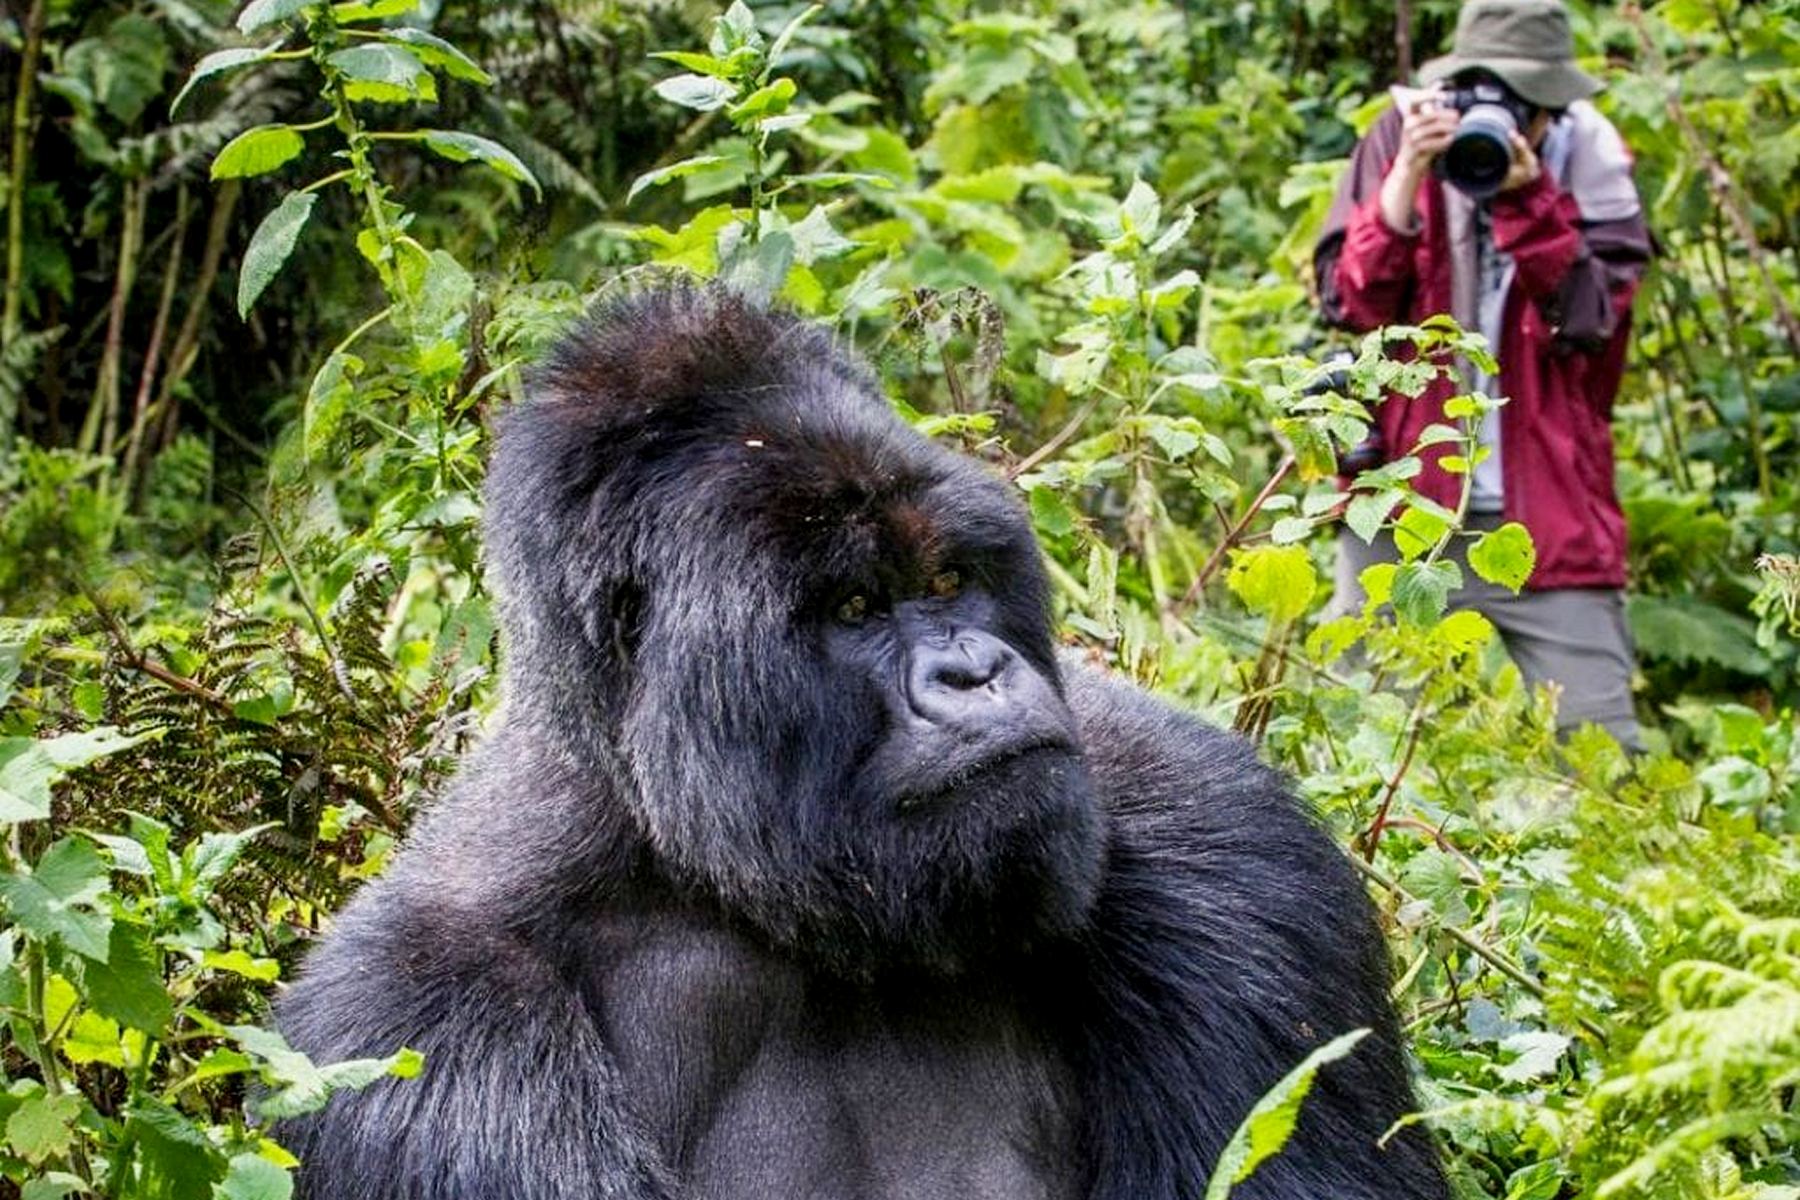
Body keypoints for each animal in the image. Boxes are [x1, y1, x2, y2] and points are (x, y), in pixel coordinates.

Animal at [273, 286, 1447, 1194]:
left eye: (948, 579)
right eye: (851, 608)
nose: (974, 673)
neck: (712, 877)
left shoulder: (1227, 846)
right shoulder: (411, 1038)